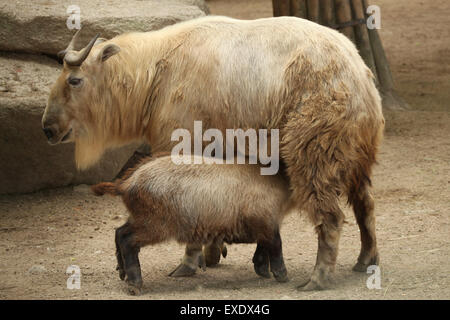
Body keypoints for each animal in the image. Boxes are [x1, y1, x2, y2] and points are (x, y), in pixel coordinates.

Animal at [92, 155, 296, 296]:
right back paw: (135, 284)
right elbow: (276, 244)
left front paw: (263, 271)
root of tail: (127, 183)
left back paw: (122, 273)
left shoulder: (266, 224)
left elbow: (264, 246)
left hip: (140, 219)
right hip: (155, 225)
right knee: (127, 240)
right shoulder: (265, 221)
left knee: (119, 232)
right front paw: (282, 275)